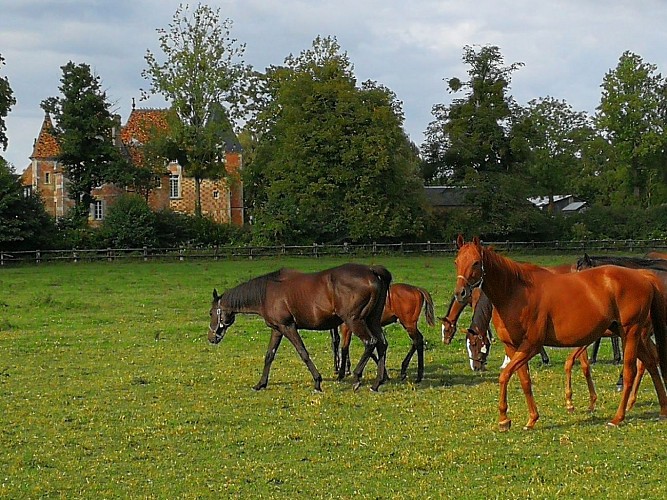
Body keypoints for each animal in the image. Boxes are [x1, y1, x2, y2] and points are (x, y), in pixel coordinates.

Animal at [209, 263, 392, 392]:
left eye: (211, 313)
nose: (211, 338)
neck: (268, 292)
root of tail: (371, 271)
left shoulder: (288, 327)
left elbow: (303, 352)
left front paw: (317, 382)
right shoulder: (277, 329)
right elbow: (269, 355)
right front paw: (260, 384)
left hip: (354, 321)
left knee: (370, 342)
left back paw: (356, 378)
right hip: (372, 321)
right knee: (382, 344)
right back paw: (377, 383)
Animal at [454, 235, 667, 430]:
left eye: (476, 262)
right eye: (457, 261)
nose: (460, 293)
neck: (516, 292)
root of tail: (643, 276)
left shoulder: (531, 345)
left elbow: (504, 375)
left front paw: (504, 419)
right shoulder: (512, 346)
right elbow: (524, 380)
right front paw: (531, 419)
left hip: (631, 333)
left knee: (631, 371)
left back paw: (618, 417)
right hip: (630, 334)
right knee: (650, 363)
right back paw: (662, 409)